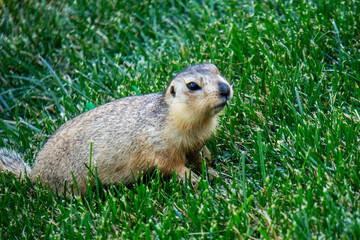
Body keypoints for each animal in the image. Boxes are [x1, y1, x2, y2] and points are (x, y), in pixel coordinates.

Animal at [0, 64, 233, 197]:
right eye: (192, 86)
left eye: (216, 69)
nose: (225, 89)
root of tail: (34, 175)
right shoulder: (159, 145)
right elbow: (173, 166)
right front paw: (195, 180)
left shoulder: (196, 143)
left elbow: (200, 157)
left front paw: (213, 171)